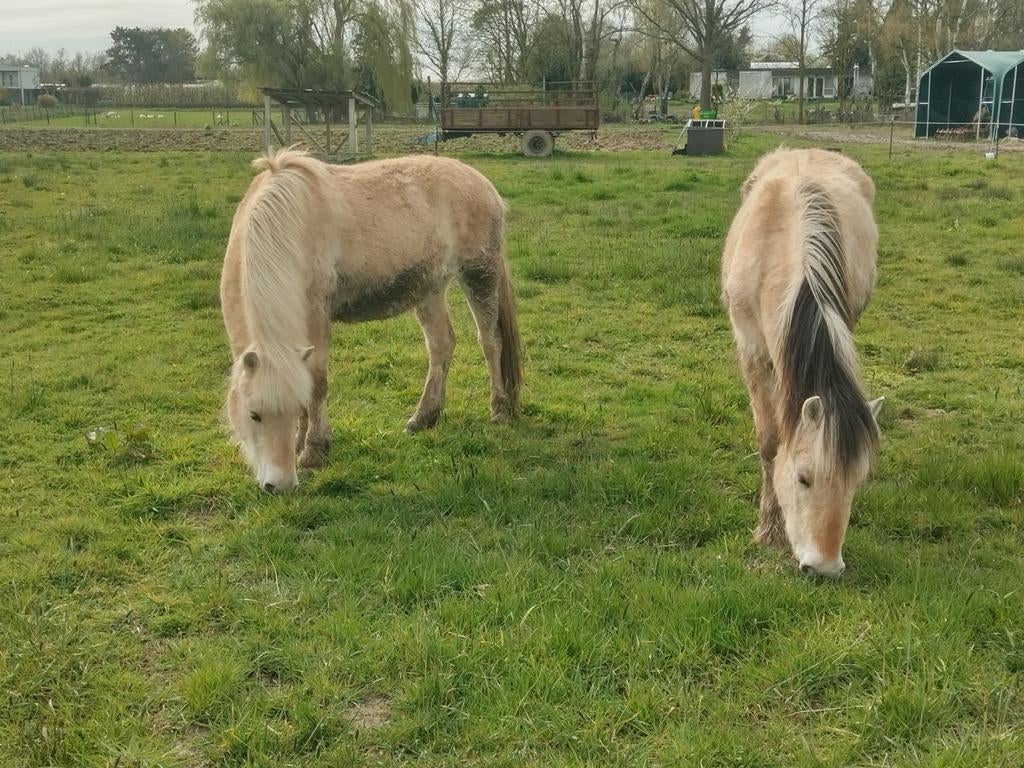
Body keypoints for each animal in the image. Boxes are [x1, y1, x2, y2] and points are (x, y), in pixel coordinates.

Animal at [220, 148, 522, 492]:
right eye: (253, 414)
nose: (281, 484)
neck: (286, 228)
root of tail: (484, 184)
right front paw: (301, 443)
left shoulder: (317, 315)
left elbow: (317, 383)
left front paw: (313, 452)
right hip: (430, 288)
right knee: (441, 345)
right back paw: (424, 417)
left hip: (479, 274)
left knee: (490, 341)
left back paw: (499, 410)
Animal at [721, 148, 883, 578]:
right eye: (803, 478)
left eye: (855, 483)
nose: (824, 568)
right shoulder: (752, 350)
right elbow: (770, 442)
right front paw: (769, 531)